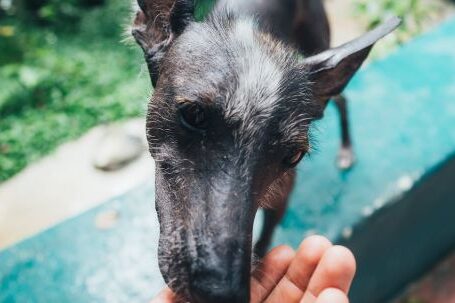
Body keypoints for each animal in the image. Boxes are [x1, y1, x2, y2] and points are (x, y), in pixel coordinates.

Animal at [131, 1, 400, 302]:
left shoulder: (281, 200)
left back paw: (346, 149)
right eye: (194, 114)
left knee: (341, 100)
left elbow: (264, 240)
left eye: (293, 155)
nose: (224, 292)